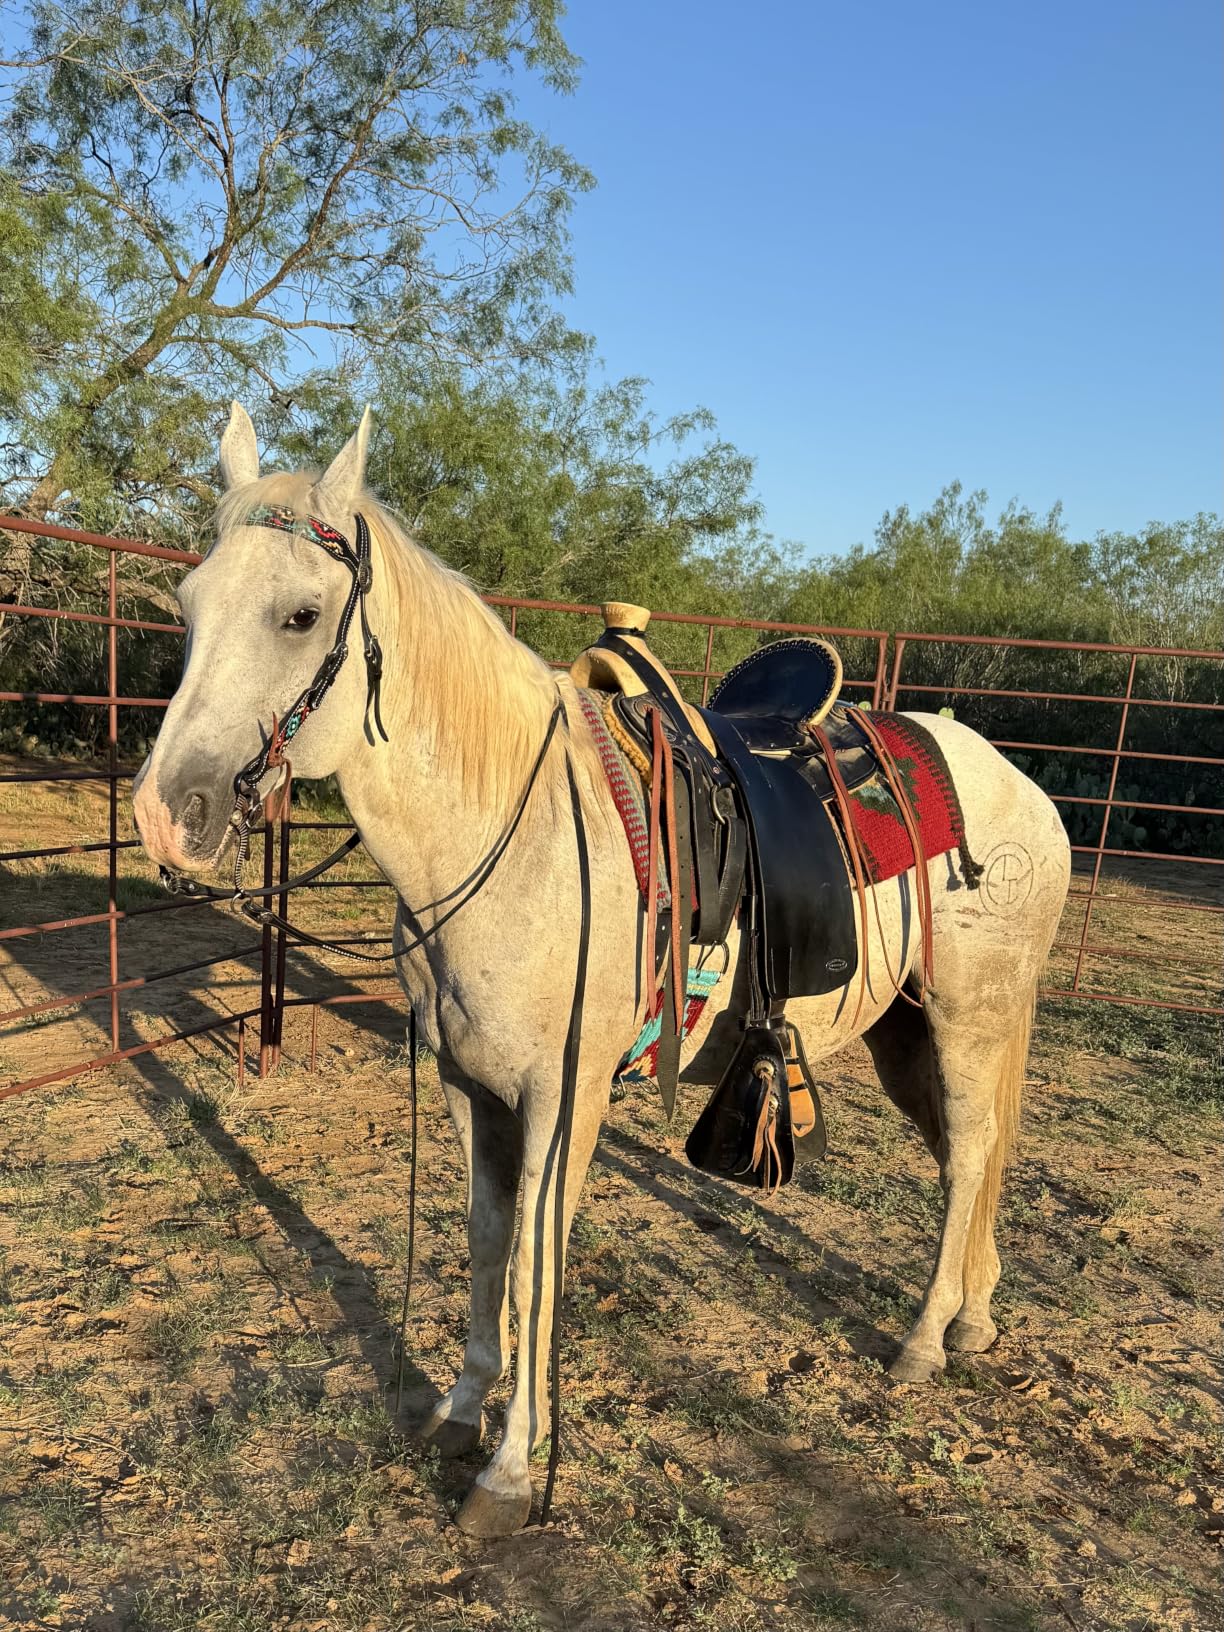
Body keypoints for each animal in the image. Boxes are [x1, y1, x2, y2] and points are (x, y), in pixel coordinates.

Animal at [133, 404, 1072, 1537]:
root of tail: (1022, 787)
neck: (518, 831)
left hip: (973, 1018)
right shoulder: (472, 1088)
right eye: (188, 606)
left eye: (302, 615)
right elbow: (488, 1240)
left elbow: (537, 1261)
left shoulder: (564, 1094)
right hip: (907, 1034)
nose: (165, 815)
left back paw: (927, 1339)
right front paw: (460, 1411)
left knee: (972, 1156)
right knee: (965, 1160)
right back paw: (974, 1318)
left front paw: (511, 1471)